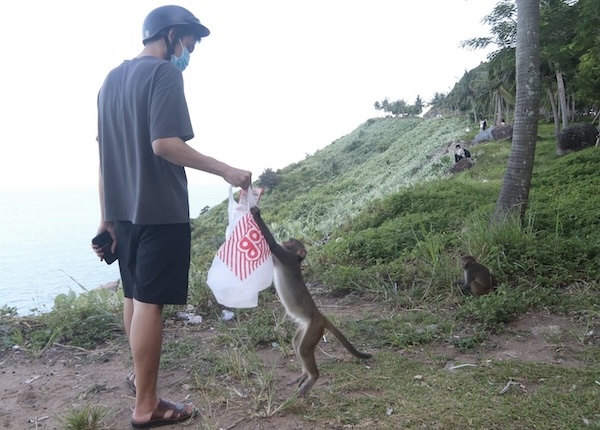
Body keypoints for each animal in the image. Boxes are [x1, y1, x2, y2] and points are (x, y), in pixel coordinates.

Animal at [248, 205, 370, 396]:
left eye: (291, 242)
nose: (287, 239)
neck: (296, 260)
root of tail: (320, 316)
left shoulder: (285, 257)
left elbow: (272, 245)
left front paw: (256, 213)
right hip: (306, 326)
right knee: (297, 343)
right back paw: (304, 374)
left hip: (314, 328)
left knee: (304, 349)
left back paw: (313, 377)